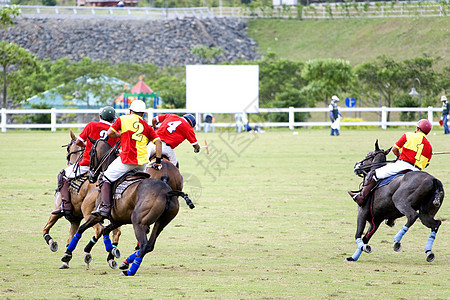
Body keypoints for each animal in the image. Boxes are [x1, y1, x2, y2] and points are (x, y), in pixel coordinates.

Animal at [42, 131, 121, 270]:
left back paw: (88, 254)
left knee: (99, 229)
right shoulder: (75, 221)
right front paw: (66, 259)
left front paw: (52, 243)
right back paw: (111, 256)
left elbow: (45, 229)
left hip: (88, 212)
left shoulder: (56, 211)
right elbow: (70, 239)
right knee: (115, 232)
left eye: (68, 148)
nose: (69, 161)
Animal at [60, 138, 192, 276]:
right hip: (161, 222)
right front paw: (111, 253)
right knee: (150, 245)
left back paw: (129, 271)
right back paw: (126, 262)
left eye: (90, 152)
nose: (91, 176)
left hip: (138, 221)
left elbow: (82, 228)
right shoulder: (118, 219)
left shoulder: (98, 214)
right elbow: (105, 231)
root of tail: (167, 192)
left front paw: (68, 254)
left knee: (144, 245)